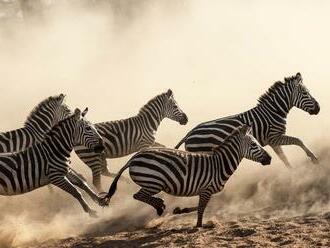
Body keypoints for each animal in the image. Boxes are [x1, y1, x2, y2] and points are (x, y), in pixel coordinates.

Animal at [102, 125, 270, 228]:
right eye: (254, 145)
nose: (269, 159)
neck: (220, 164)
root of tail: (133, 158)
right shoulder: (207, 189)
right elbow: (201, 208)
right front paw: (199, 225)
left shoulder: (204, 191)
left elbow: (199, 207)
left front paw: (180, 210)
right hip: (153, 182)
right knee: (138, 195)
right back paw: (159, 205)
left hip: (151, 182)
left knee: (140, 196)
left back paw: (159, 206)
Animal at [175, 72, 320, 168]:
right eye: (305, 93)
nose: (318, 108)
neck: (273, 112)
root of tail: (189, 133)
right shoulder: (274, 137)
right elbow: (298, 140)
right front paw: (313, 158)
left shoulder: (273, 142)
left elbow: (284, 159)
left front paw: (291, 172)